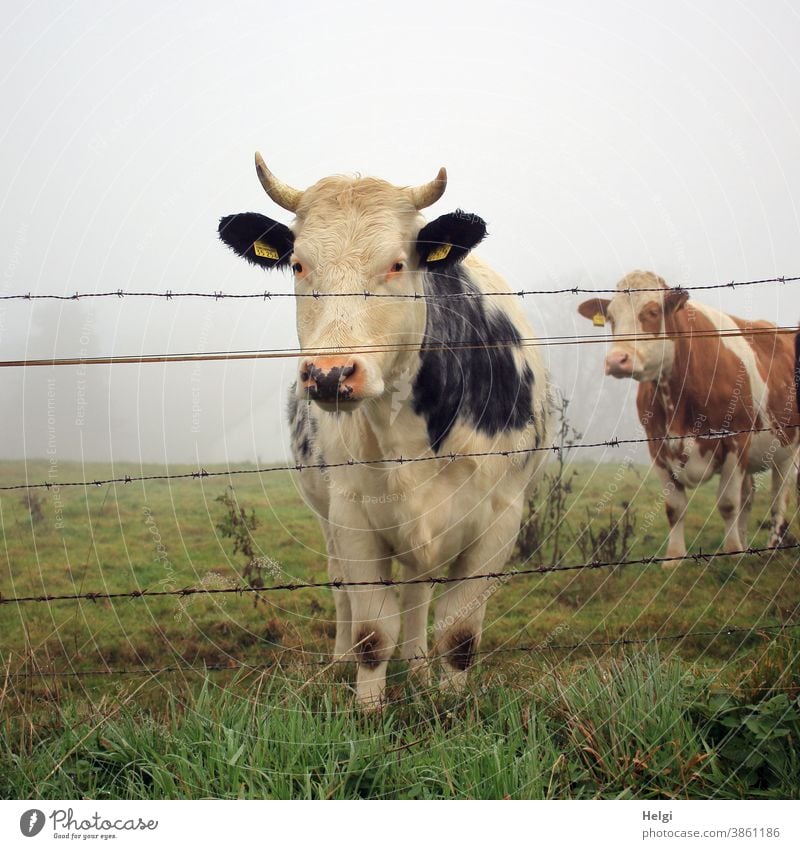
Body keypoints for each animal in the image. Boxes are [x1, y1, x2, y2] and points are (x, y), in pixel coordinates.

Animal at [219, 154, 556, 708]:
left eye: (397, 264)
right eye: (298, 264)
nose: (330, 374)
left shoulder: (500, 518)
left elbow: (459, 635)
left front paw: (451, 705)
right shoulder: (353, 514)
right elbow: (372, 632)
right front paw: (368, 711)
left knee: (418, 589)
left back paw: (417, 668)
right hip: (327, 515)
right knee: (342, 586)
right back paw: (341, 662)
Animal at [580, 274, 796, 564]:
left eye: (652, 312)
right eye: (611, 317)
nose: (616, 360)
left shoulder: (736, 440)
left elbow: (728, 503)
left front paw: (731, 552)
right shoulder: (657, 444)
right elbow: (675, 507)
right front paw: (674, 558)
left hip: (787, 449)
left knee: (778, 499)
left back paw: (771, 547)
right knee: (749, 496)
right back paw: (745, 543)